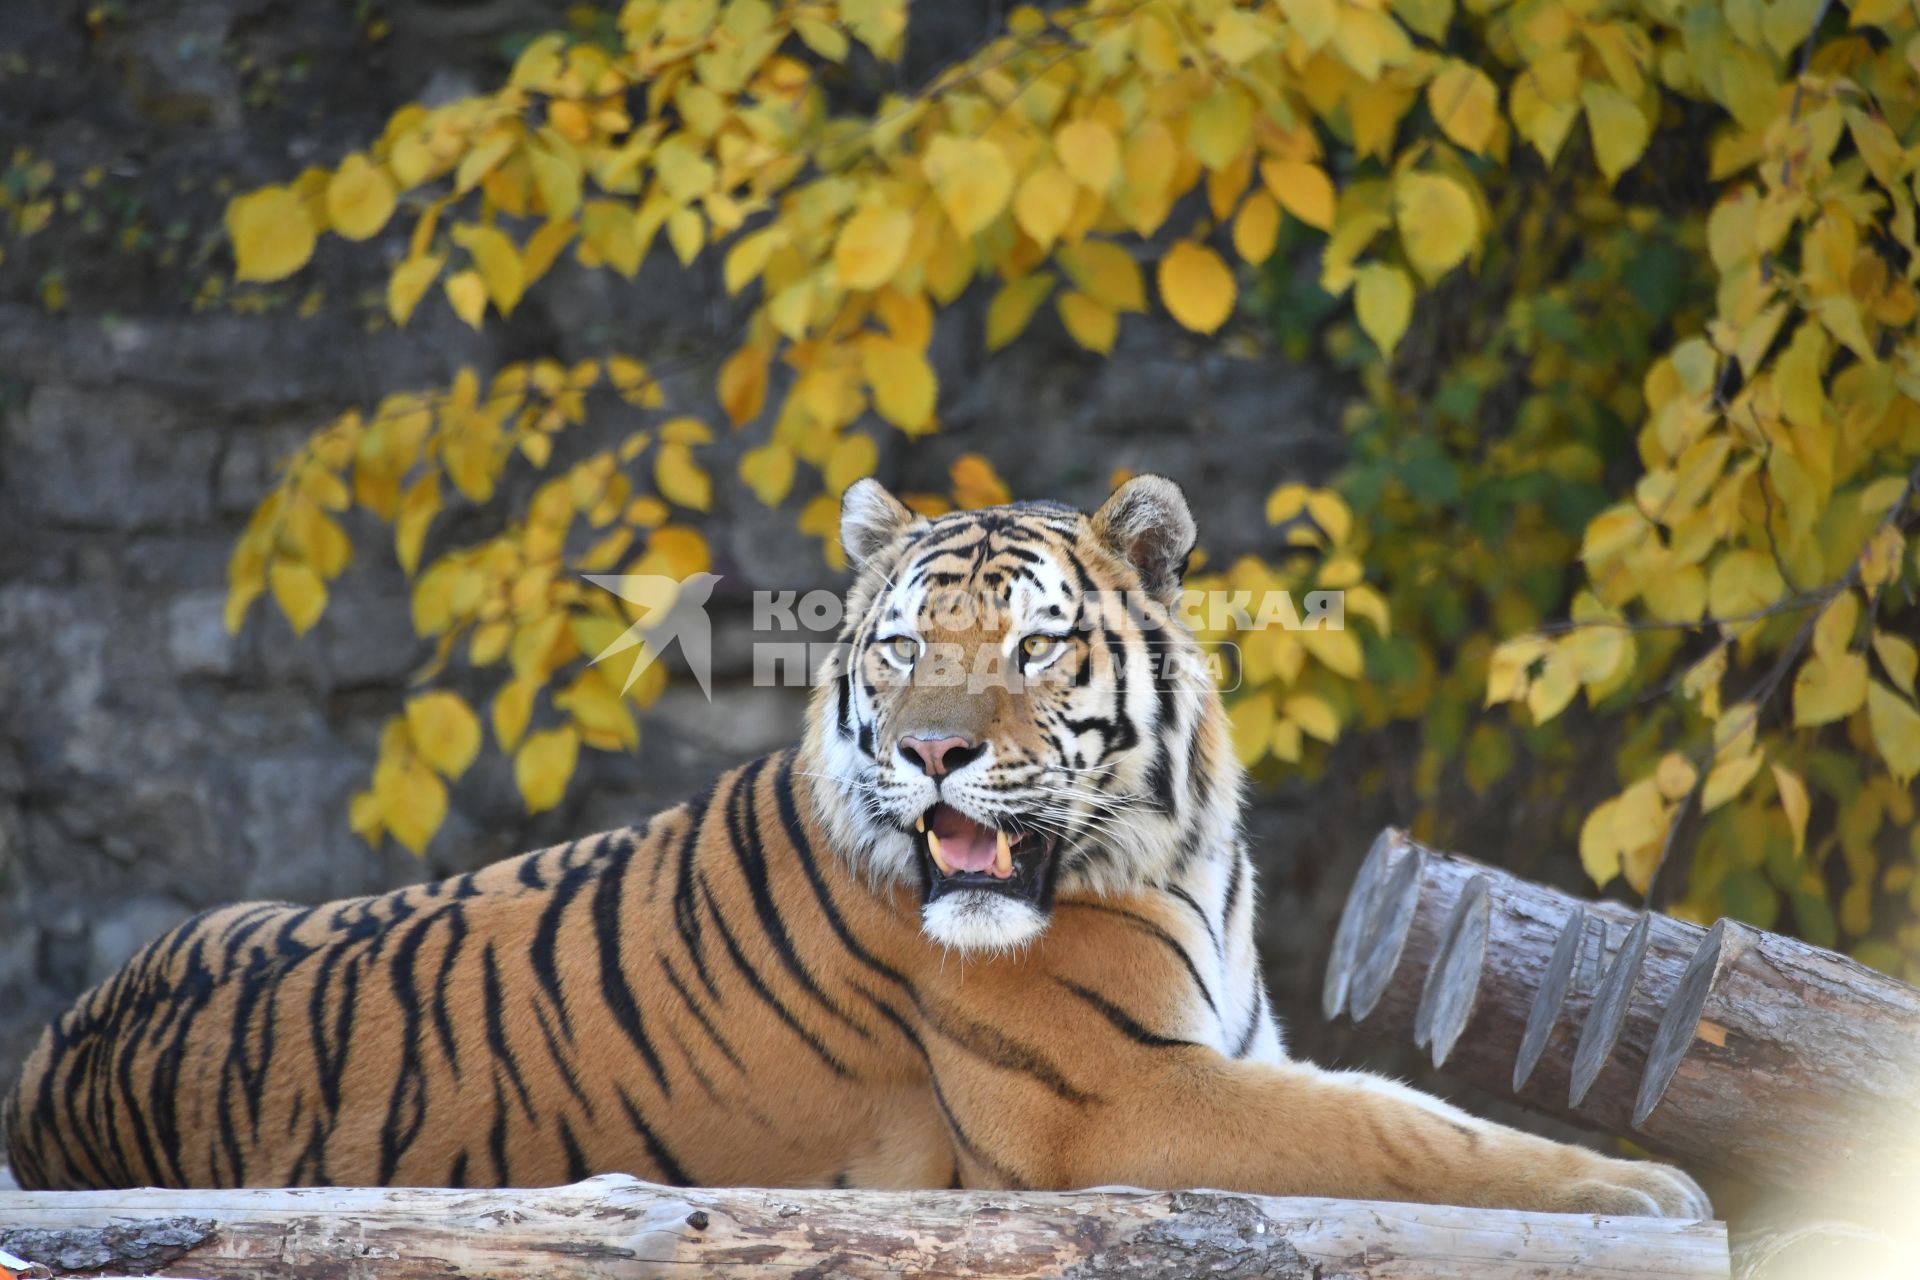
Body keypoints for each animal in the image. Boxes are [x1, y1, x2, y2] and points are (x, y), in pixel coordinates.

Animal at [0, 475, 1712, 1220]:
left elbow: (1403, 1108)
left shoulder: (1225, 1050)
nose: (932, 751)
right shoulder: (1121, 1100)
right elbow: (1403, 1132)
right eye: (899, 649)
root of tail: (45, 1072)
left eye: (1032, 648)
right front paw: (1647, 1192)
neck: (1172, 850)